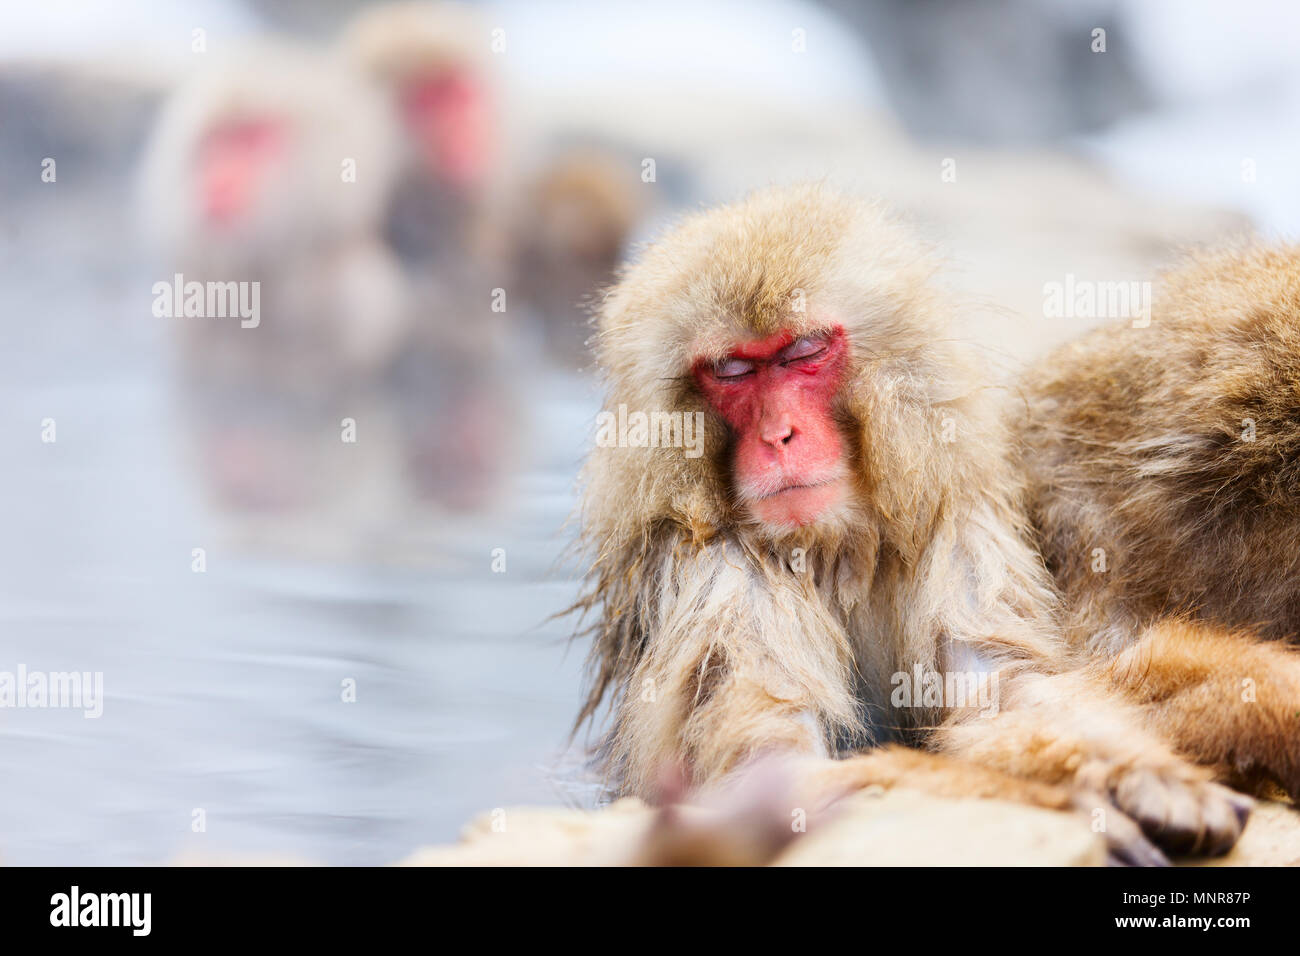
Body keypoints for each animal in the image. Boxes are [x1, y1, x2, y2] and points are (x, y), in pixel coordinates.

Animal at [569, 184, 1250, 864]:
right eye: (732, 370)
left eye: (803, 352)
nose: (779, 436)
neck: (830, 548)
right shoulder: (716, 572)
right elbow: (768, 771)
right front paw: (1074, 806)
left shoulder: (957, 524)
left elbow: (1003, 692)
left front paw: (1140, 776)